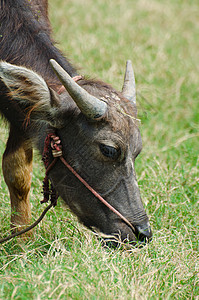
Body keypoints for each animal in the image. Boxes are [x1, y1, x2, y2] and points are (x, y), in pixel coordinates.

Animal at [0, 0, 152, 244]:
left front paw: (23, 240)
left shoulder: (22, 115)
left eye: (137, 150)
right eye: (109, 149)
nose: (142, 232)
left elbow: (18, 171)